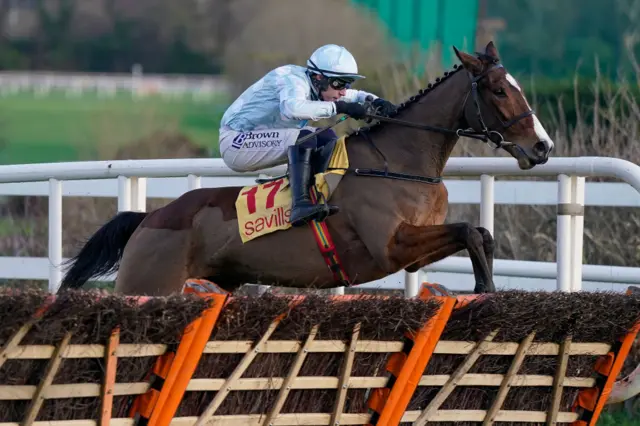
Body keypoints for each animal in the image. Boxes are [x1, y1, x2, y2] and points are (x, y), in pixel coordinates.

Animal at [60, 43, 556, 296]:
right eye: (497, 90)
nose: (543, 146)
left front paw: (485, 286)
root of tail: (150, 218)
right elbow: (471, 231)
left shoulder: (413, 254)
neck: (398, 164)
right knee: (303, 136)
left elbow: (480, 233)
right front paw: (482, 287)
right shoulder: (391, 248)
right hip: (149, 286)